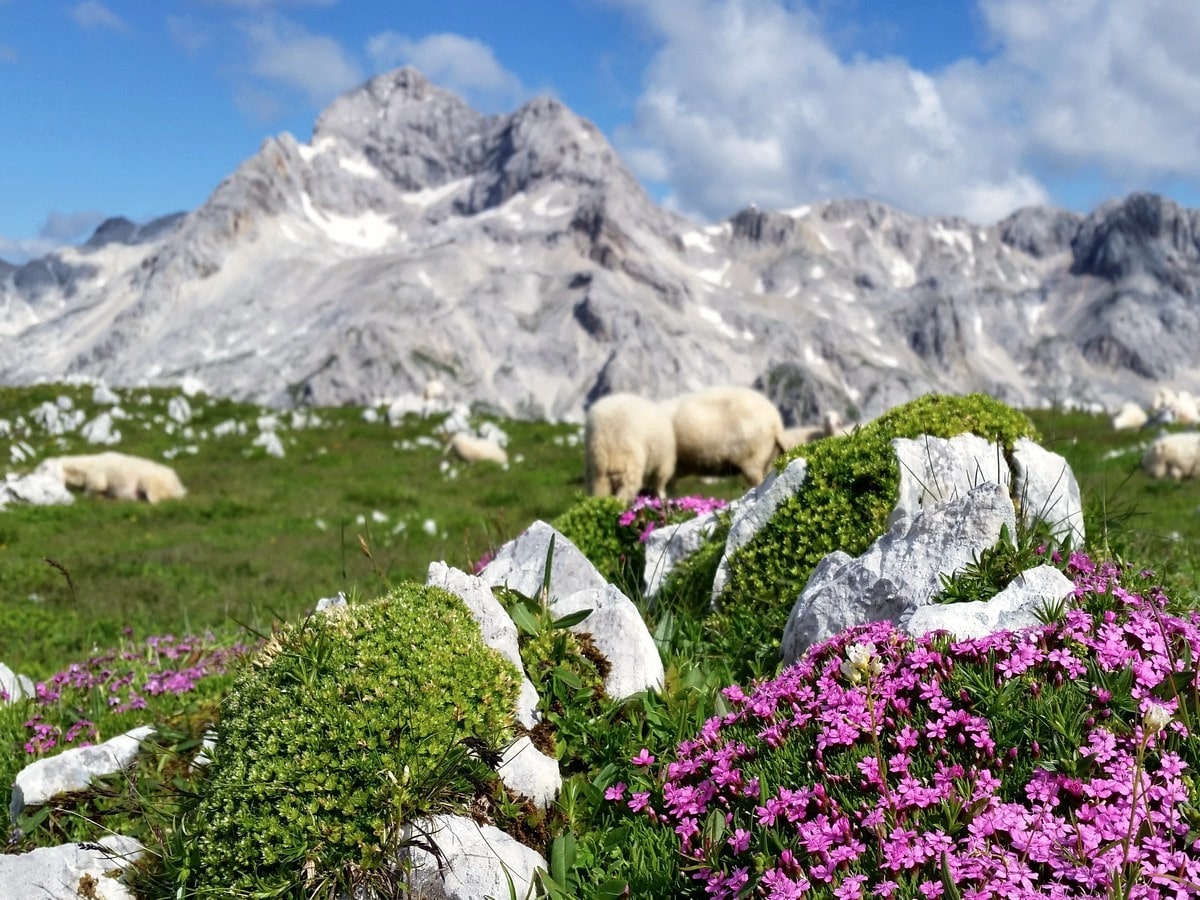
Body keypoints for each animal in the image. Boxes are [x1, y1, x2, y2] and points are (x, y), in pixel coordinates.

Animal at [35, 453, 187, 504]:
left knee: (156, 500)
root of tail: (179, 487)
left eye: (44, 467)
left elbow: (89, 492)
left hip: (150, 482)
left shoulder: (97, 480)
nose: (32, 473)